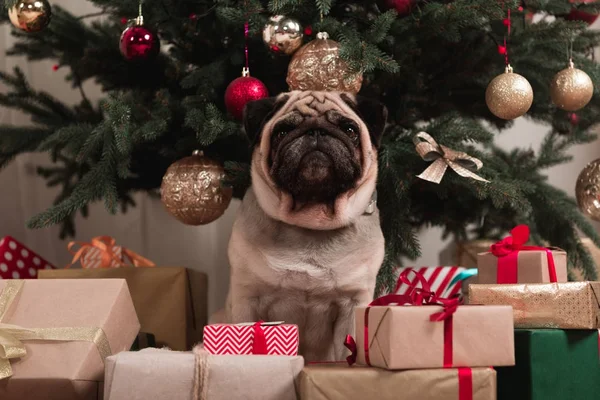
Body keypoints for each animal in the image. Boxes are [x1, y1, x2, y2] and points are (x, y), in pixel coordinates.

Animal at [224, 91, 384, 362]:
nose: (316, 132)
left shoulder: (353, 304)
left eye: (349, 129)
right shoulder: (247, 298)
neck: (311, 222)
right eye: (282, 131)